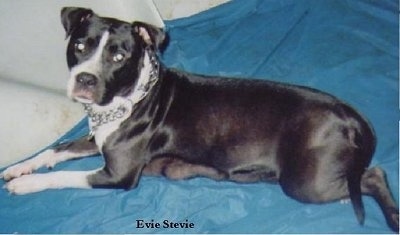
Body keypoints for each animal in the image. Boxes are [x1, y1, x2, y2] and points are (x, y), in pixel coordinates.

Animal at [1, 6, 398, 231]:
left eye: (118, 56)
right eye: (79, 46)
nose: (85, 79)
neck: (128, 98)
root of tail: (350, 113)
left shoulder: (119, 174)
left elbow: (66, 175)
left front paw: (27, 184)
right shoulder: (96, 138)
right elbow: (57, 150)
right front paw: (20, 168)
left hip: (304, 182)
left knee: (374, 175)